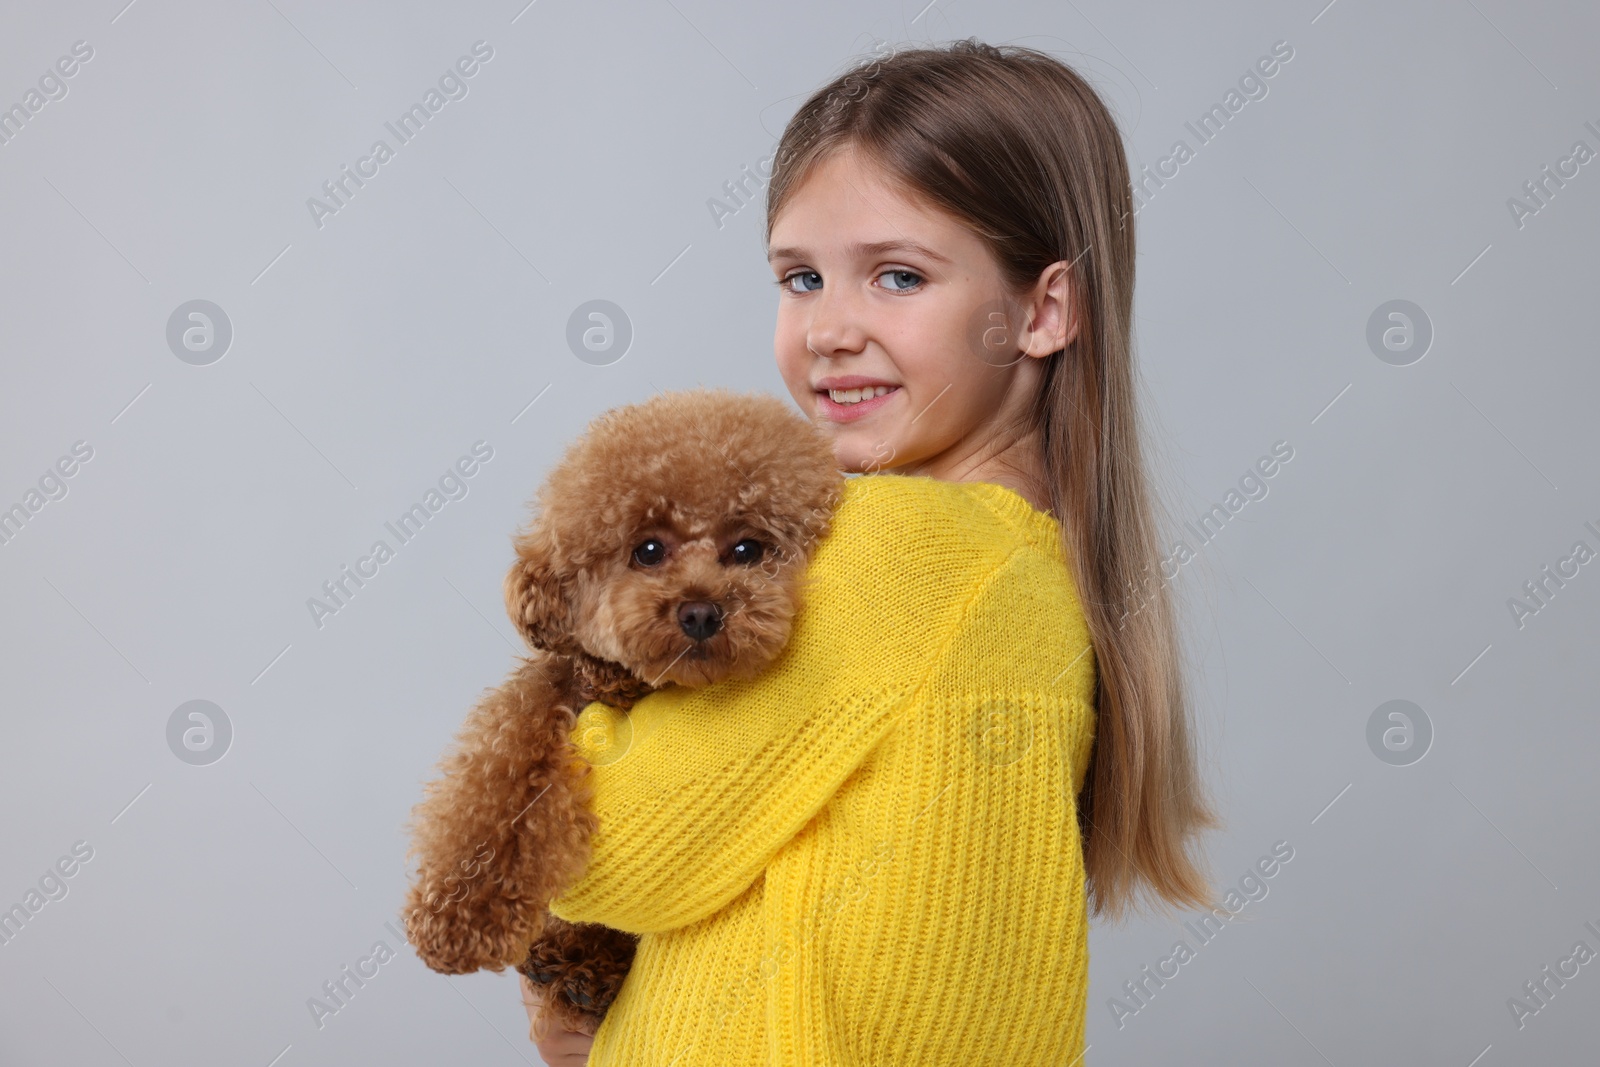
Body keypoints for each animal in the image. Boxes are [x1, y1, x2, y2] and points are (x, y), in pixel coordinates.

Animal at [398, 385, 844, 1036]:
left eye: (748, 549)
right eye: (647, 550)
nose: (701, 611)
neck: (636, 687)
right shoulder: (540, 700)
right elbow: (494, 796)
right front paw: (459, 918)